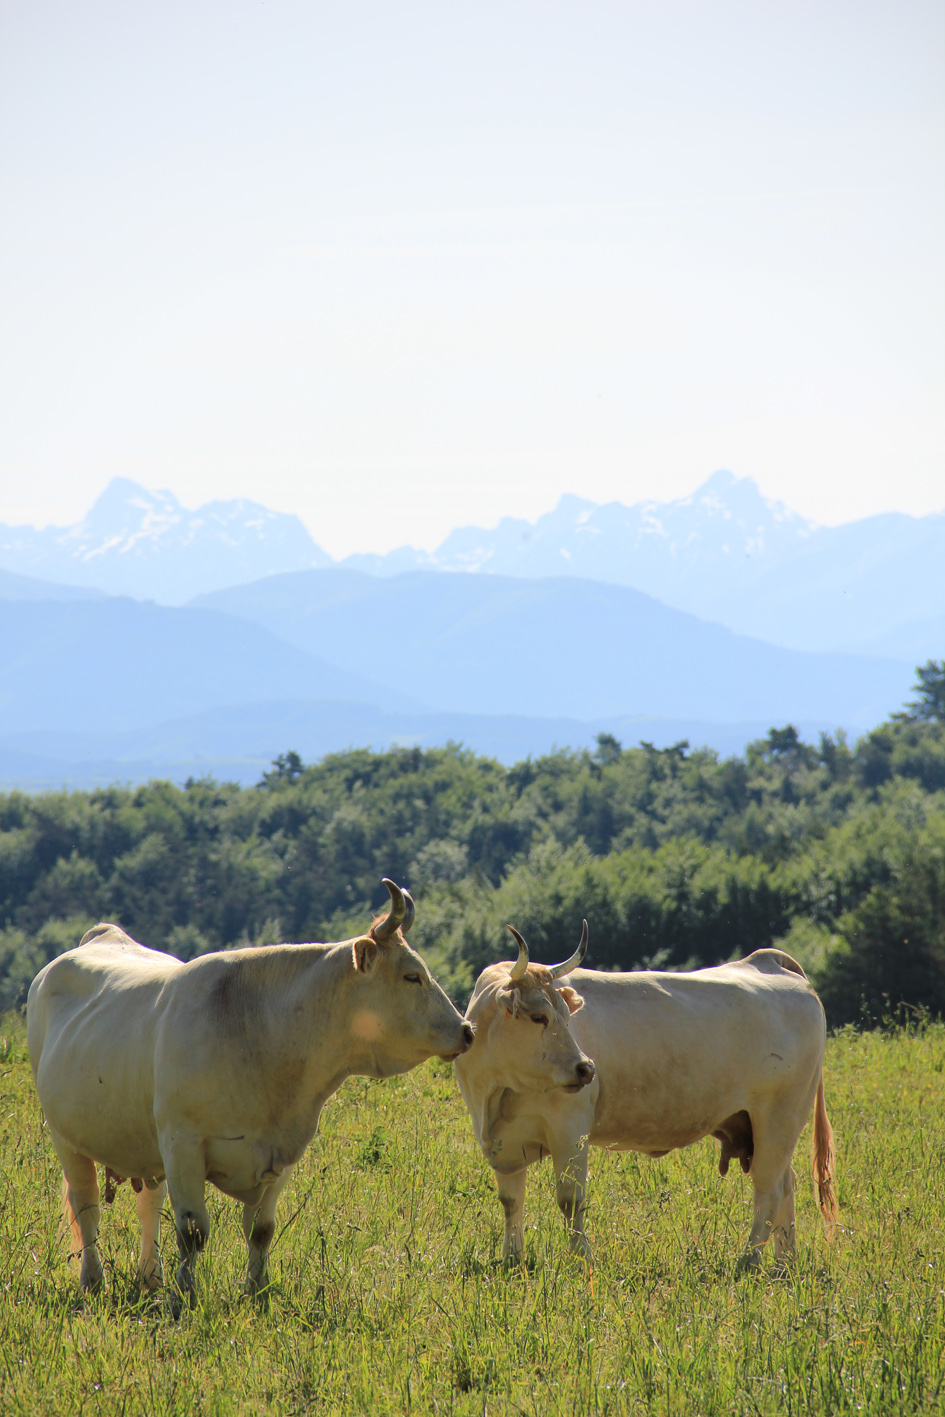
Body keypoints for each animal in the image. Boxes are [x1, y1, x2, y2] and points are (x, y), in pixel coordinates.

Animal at [27, 879, 473, 1312]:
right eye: (411, 976)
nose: (466, 1030)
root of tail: (101, 935)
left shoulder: (283, 1153)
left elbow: (261, 1230)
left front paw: (256, 1293)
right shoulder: (182, 1143)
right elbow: (191, 1231)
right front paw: (185, 1296)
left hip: (142, 1144)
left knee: (148, 1205)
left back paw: (152, 1280)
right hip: (65, 1136)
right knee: (87, 1207)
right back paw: (94, 1281)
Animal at [454, 922, 837, 1271]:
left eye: (566, 1016)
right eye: (538, 1017)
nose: (586, 1069)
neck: (496, 1092)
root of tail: (767, 960)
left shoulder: (570, 1130)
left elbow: (570, 1199)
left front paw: (581, 1261)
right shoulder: (503, 1143)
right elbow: (510, 1201)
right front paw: (511, 1259)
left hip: (779, 1117)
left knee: (768, 1188)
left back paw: (748, 1260)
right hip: (766, 1129)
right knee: (786, 1184)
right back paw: (785, 1263)